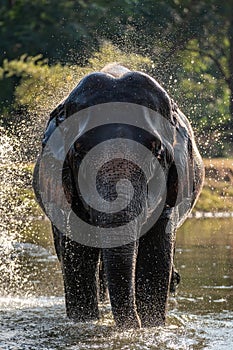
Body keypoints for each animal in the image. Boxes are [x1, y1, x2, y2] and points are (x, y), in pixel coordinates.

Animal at [32, 63, 204, 328]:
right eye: (78, 150)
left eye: (156, 150)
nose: (134, 323)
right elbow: (77, 253)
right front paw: (85, 323)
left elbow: (155, 255)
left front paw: (151, 326)